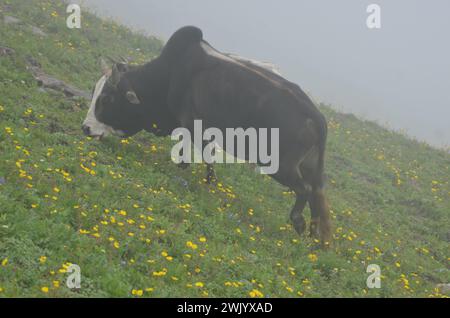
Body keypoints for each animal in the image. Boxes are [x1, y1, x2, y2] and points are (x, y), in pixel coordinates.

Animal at [82, 26, 332, 245]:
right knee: (317, 198)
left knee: (304, 191)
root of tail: (317, 117)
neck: (169, 75)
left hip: (279, 166)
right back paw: (316, 237)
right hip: (308, 168)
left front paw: (205, 183)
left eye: (106, 99)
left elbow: (205, 158)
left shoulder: (195, 126)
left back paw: (299, 223)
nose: (86, 128)